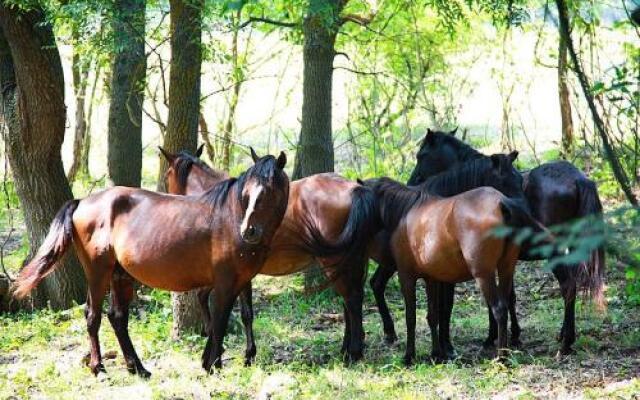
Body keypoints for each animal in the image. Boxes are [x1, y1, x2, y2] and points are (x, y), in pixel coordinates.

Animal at [13, 150, 288, 376]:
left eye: (269, 192)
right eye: (247, 193)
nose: (248, 231)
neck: (229, 217)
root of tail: (82, 202)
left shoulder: (240, 281)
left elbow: (238, 316)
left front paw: (218, 360)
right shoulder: (225, 283)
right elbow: (219, 321)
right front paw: (213, 364)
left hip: (120, 276)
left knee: (117, 318)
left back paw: (137, 367)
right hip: (97, 273)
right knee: (93, 315)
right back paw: (98, 367)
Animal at [160, 146, 378, 362]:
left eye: (166, 176)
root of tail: (354, 188)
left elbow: (241, 311)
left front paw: (244, 352)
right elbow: (208, 297)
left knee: (351, 298)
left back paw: (354, 352)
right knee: (351, 300)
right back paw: (347, 348)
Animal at [370, 129, 604, 356]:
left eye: (421, 155)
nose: (412, 181)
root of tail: (579, 178)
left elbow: (450, 306)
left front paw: (458, 345)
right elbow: (507, 297)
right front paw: (507, 336)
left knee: (568, 285)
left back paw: (565, 343)